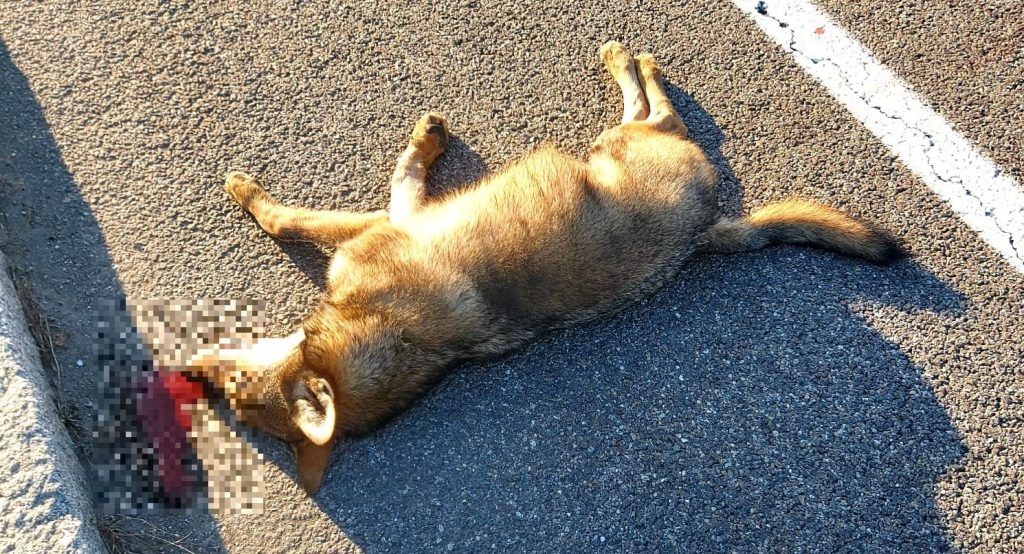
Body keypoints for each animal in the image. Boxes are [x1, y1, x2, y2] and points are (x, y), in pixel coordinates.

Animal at [197, 41, 902, 494]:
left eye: (235, 389)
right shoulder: (394, 215)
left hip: (616, 143)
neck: (386, 339)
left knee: (657, 107)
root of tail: (707, 229)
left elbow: (290, 217)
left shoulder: (386, 218)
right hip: (617, 145)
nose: (191, 376)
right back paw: (629, 59)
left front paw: (247, 190)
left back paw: (626, 58)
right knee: (656, 111)